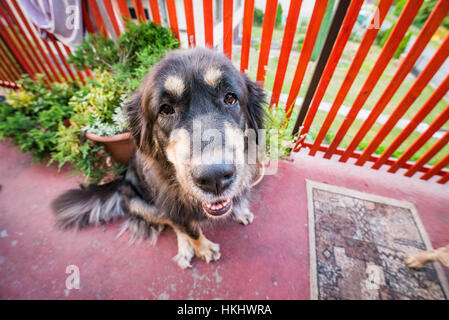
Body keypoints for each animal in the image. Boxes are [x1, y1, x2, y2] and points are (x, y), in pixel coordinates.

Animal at [51, 47, 264, 268]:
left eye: (230, 98)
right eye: (165, 109)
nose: (215, 178)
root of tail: (121, 180)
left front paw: (240, 210)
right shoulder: (172, 206)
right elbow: (190, 230)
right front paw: (203, 248)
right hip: (143, 205)